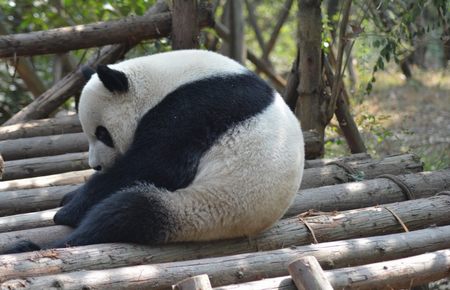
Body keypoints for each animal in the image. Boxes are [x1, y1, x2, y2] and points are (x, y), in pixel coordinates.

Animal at [3, 49, 304, 251]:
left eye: (102, 133)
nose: (96, 166)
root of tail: (248, 227)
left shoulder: (196, 107)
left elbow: (156, 164)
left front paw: (68, 209)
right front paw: (70, 196)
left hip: (207, 207)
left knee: (127, 212)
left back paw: (36, 245)